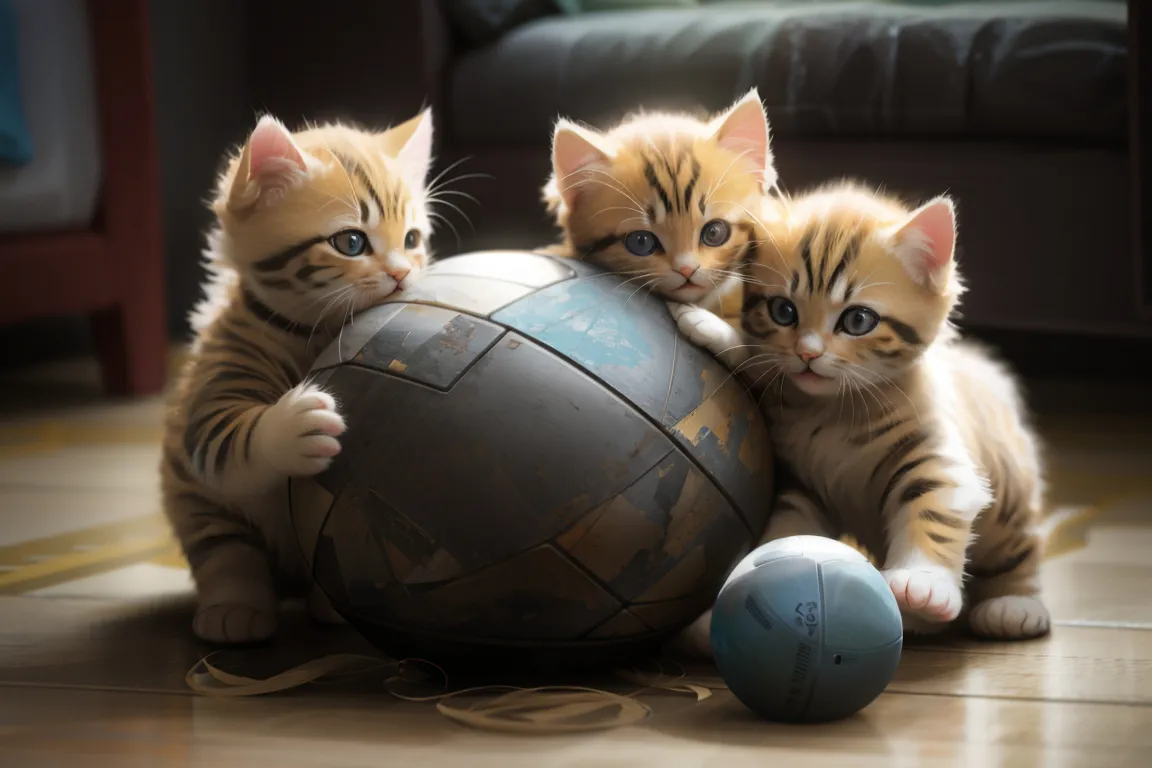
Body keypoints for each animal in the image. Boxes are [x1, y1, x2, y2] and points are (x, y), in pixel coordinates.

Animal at [160, 111, 433, 644]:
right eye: (351, 242)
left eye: (412, 240)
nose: (401, 275)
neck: (312, 330)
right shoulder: (215, 388)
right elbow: (227, 442)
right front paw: (292, 427)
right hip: (191, 497)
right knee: (226, 552)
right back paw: (234, 608)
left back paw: (330, 606)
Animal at [672, 183, 1055, 644]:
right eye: (783, 311)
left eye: (858, 320)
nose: (808, 354)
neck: (835, 410)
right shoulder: (802, 485)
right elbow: (787, 526)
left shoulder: (936, 460)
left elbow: (934, 510)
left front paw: (923, 581)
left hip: (1009, 495)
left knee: (1022, 547)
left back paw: (1014, 605)